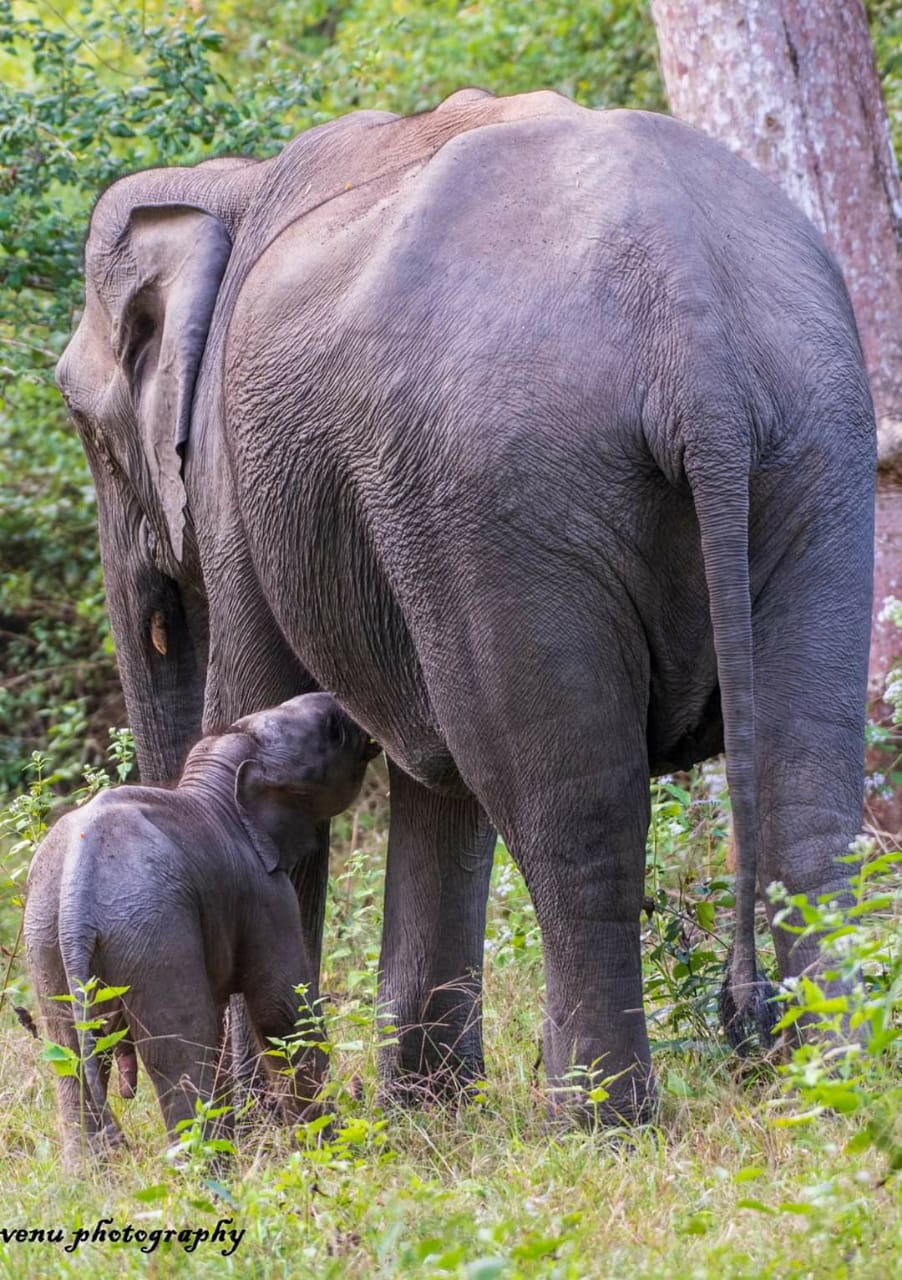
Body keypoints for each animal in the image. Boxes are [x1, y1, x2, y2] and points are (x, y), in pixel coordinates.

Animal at [24, 696, 376, 1167]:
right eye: (334, 731)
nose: (344, 711)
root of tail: (78, 887)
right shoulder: (264, 891)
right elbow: (282, 1012)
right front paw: (335, 1150)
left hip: (45, 934)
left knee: (71, 1054)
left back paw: (94, 1172)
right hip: (153, 930)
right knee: (180, 1047)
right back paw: (207, 1170)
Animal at [54, 90, 870, 1126]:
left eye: (82, 421)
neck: (229, 181)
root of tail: (694, 327)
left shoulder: (242, 483)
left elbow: (262, 705)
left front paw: (285, 1130)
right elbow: (434, 784)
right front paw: (423, 1115)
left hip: (502, 481)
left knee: (579, 824)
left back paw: (597, 1125)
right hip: (814, 443)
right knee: (805, 804)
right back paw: (831, 1096)